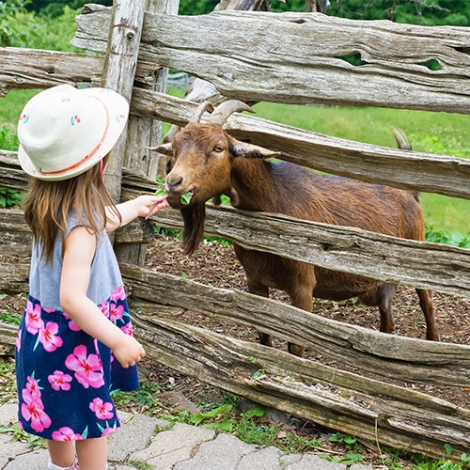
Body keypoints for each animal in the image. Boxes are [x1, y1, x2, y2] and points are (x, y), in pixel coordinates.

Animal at [153, 100, 436, 356]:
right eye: (175, 147)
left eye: (218, 147)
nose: (174, 183)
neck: (274, 197)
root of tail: (410, 193)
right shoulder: (255, 280)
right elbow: (263, 334)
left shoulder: (302, 286)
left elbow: (296, 345)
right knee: (387, 315)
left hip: (418, 252)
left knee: (427, 301)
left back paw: (433, 342)